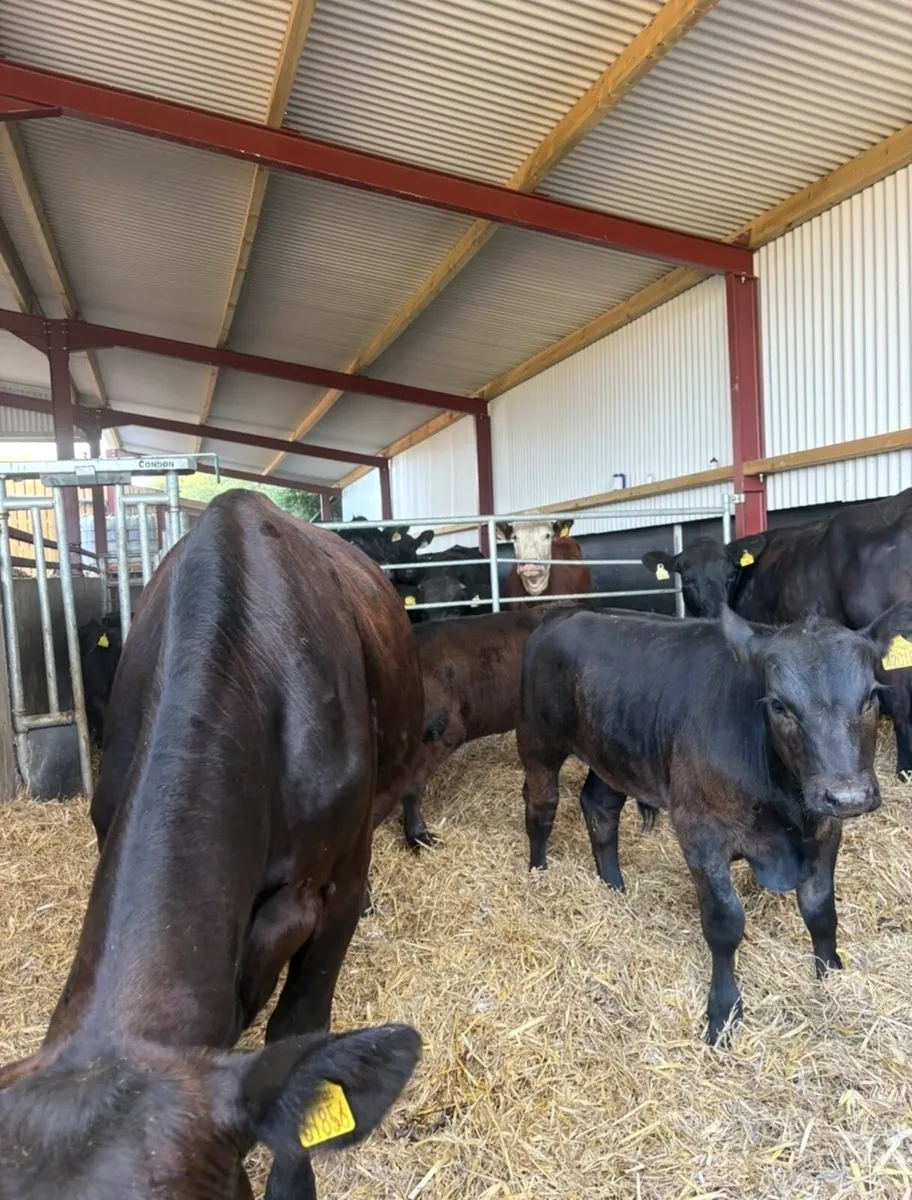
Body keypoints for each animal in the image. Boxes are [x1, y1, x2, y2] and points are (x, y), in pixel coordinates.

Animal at [516, 600, 912, 1045]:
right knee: (542, 806)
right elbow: (724, 924)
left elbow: (821, 910)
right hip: (537, 741)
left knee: (600, 809)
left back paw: (613, 887)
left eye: (871, 696)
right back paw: (538, 871)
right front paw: (723, 1012)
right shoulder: (700, 835)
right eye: (778, 704)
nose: (847, 796)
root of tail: (565, 612)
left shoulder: (826, 830)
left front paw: (831, 976)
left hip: (613, 753)